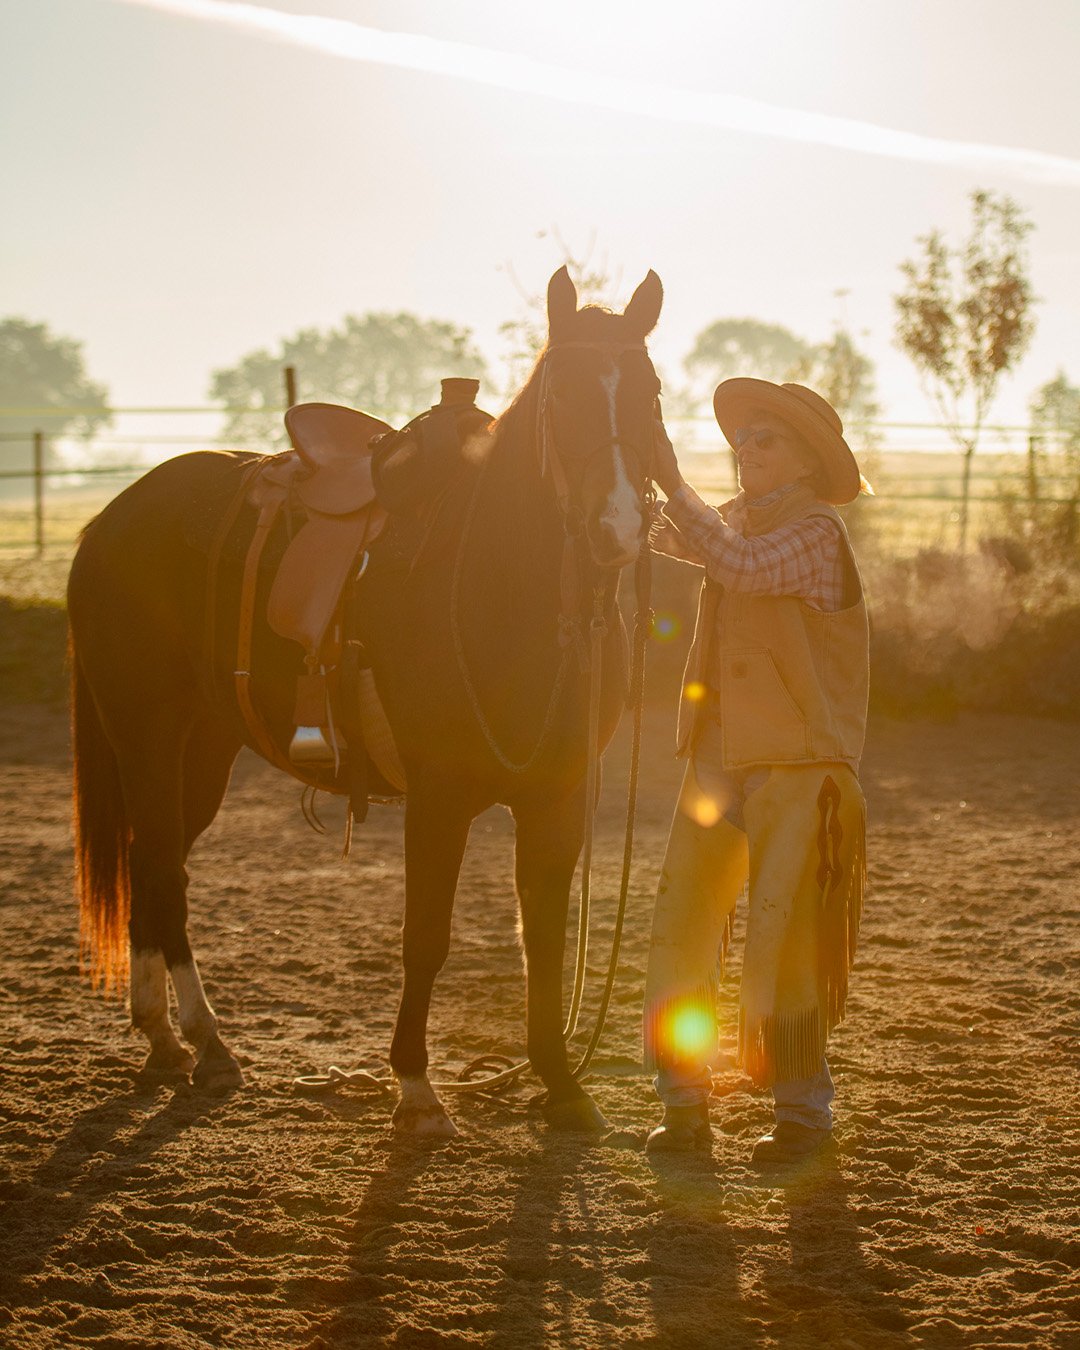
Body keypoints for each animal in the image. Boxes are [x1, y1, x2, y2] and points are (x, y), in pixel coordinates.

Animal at [67, 265, 664, 1137]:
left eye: (650, 394)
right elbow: (427, 937)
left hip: (201, 751)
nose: (616, 526)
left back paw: (171, 1041)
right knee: (161, 872)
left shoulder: (558, 796)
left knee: (155, 867)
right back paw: (204, 1040)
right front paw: (414, 1087)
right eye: (563, 396)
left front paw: (561, 1084)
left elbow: (545, 938)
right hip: (146, 736)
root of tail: (112, 520)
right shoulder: (439, 798)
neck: (505, 588)